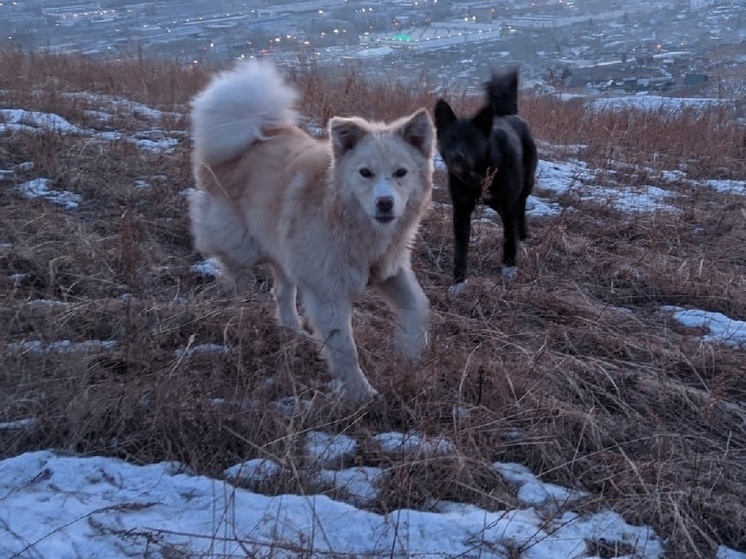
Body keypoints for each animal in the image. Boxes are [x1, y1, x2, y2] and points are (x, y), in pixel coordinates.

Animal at [186, 62, 434, 402]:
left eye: (401, 173)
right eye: (365, 173)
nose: (385, 203)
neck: (351, 223)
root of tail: (251, 134)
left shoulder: (389, 270)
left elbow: (417, 307)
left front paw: (409, 353)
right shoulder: (327, 293)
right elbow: (345, 349)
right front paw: (361, 393)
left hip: (286, 251)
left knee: (281, 290)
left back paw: (293, 330)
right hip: (242, 241)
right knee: (231, 261)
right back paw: (238, 294)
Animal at [434, 68, 536, 296]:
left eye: (472, 140)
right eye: (450, 139)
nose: (456, 157)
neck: (480, 174)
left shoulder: (507, 207)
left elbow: (508, 238)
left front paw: (509, 269)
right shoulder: (461, 211)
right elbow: (460, 250)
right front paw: (459, 284)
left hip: (527, 185)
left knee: (521, 209)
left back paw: (523, 237)